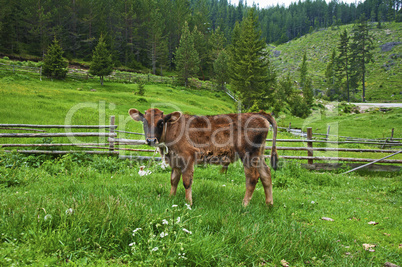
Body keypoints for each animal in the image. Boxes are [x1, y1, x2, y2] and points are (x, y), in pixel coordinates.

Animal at [129, 108, 276, 206]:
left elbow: (187, 182)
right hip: (258, 154)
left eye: (160, 122)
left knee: (252, 178)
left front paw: (188, 203)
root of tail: (258, 114)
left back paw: (244, 204)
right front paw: (171, 198)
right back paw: (269, 204)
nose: (151, 140)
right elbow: (173, 180)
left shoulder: (188, 157)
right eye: (144, 122)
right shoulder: (175, 160)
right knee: (266, 174)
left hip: (248, 154)